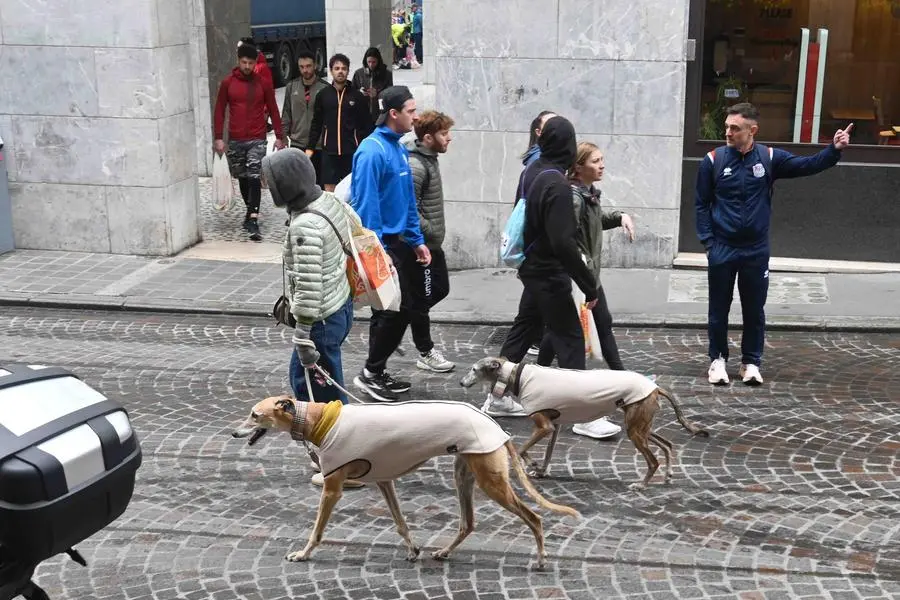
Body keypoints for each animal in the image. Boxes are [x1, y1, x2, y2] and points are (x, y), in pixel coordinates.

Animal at [230, 394, 576, 568]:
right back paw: (443, 552)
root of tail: (497, 428)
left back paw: (541, 559)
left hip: (493, 484)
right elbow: (400, 523)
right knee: (468, 523)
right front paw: (413, 550)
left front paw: (303, 554)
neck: (319, 420)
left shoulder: (332, 489)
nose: (232, 433)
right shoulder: (385, 481)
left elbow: (317, 531)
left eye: (254, 415)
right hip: (464, 476)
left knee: (534, 518)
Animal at [464, 358, 712, 490]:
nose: (461, 382)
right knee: (667, 444)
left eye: (474, 369)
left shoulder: (544, 427)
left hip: (635, 430)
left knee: (653, 460)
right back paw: (668, 475)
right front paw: (541, 470)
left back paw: (642, 484)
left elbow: (521, 448)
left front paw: (531, 464)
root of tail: (655, 387)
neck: (518, 375)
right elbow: (547, 453)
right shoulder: (554, 427)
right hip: (640, 427)